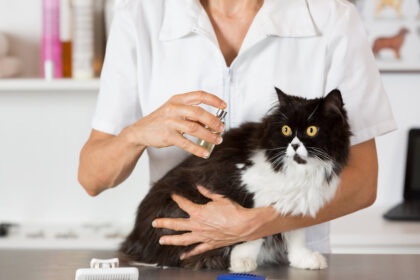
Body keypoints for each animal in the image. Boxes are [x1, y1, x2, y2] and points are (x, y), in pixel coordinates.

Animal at [119, 87, 352, 272]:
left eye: (312, 130)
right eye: (286, 130)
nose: (294, 145)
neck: (299, 171)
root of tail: (134, 240)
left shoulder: (295, 202)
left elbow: (296, 237)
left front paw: (303, 260)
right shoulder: (244, 189)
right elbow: (252, 234)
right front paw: (242, 262)